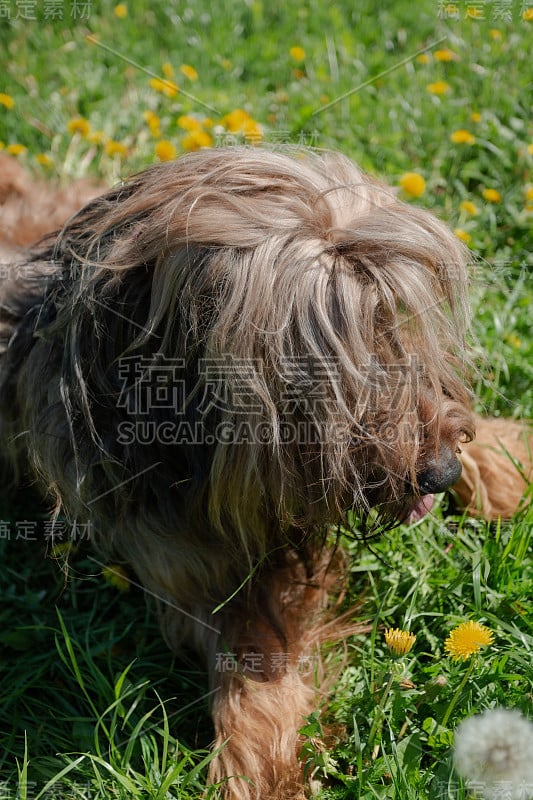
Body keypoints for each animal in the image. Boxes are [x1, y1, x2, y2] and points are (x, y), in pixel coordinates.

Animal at [0, 150, 528, 800]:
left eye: (391, 324)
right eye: (320, 362)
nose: (441, 471)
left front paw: (502, 465)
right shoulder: (186, 560)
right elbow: (253, 659)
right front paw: (257, 769)